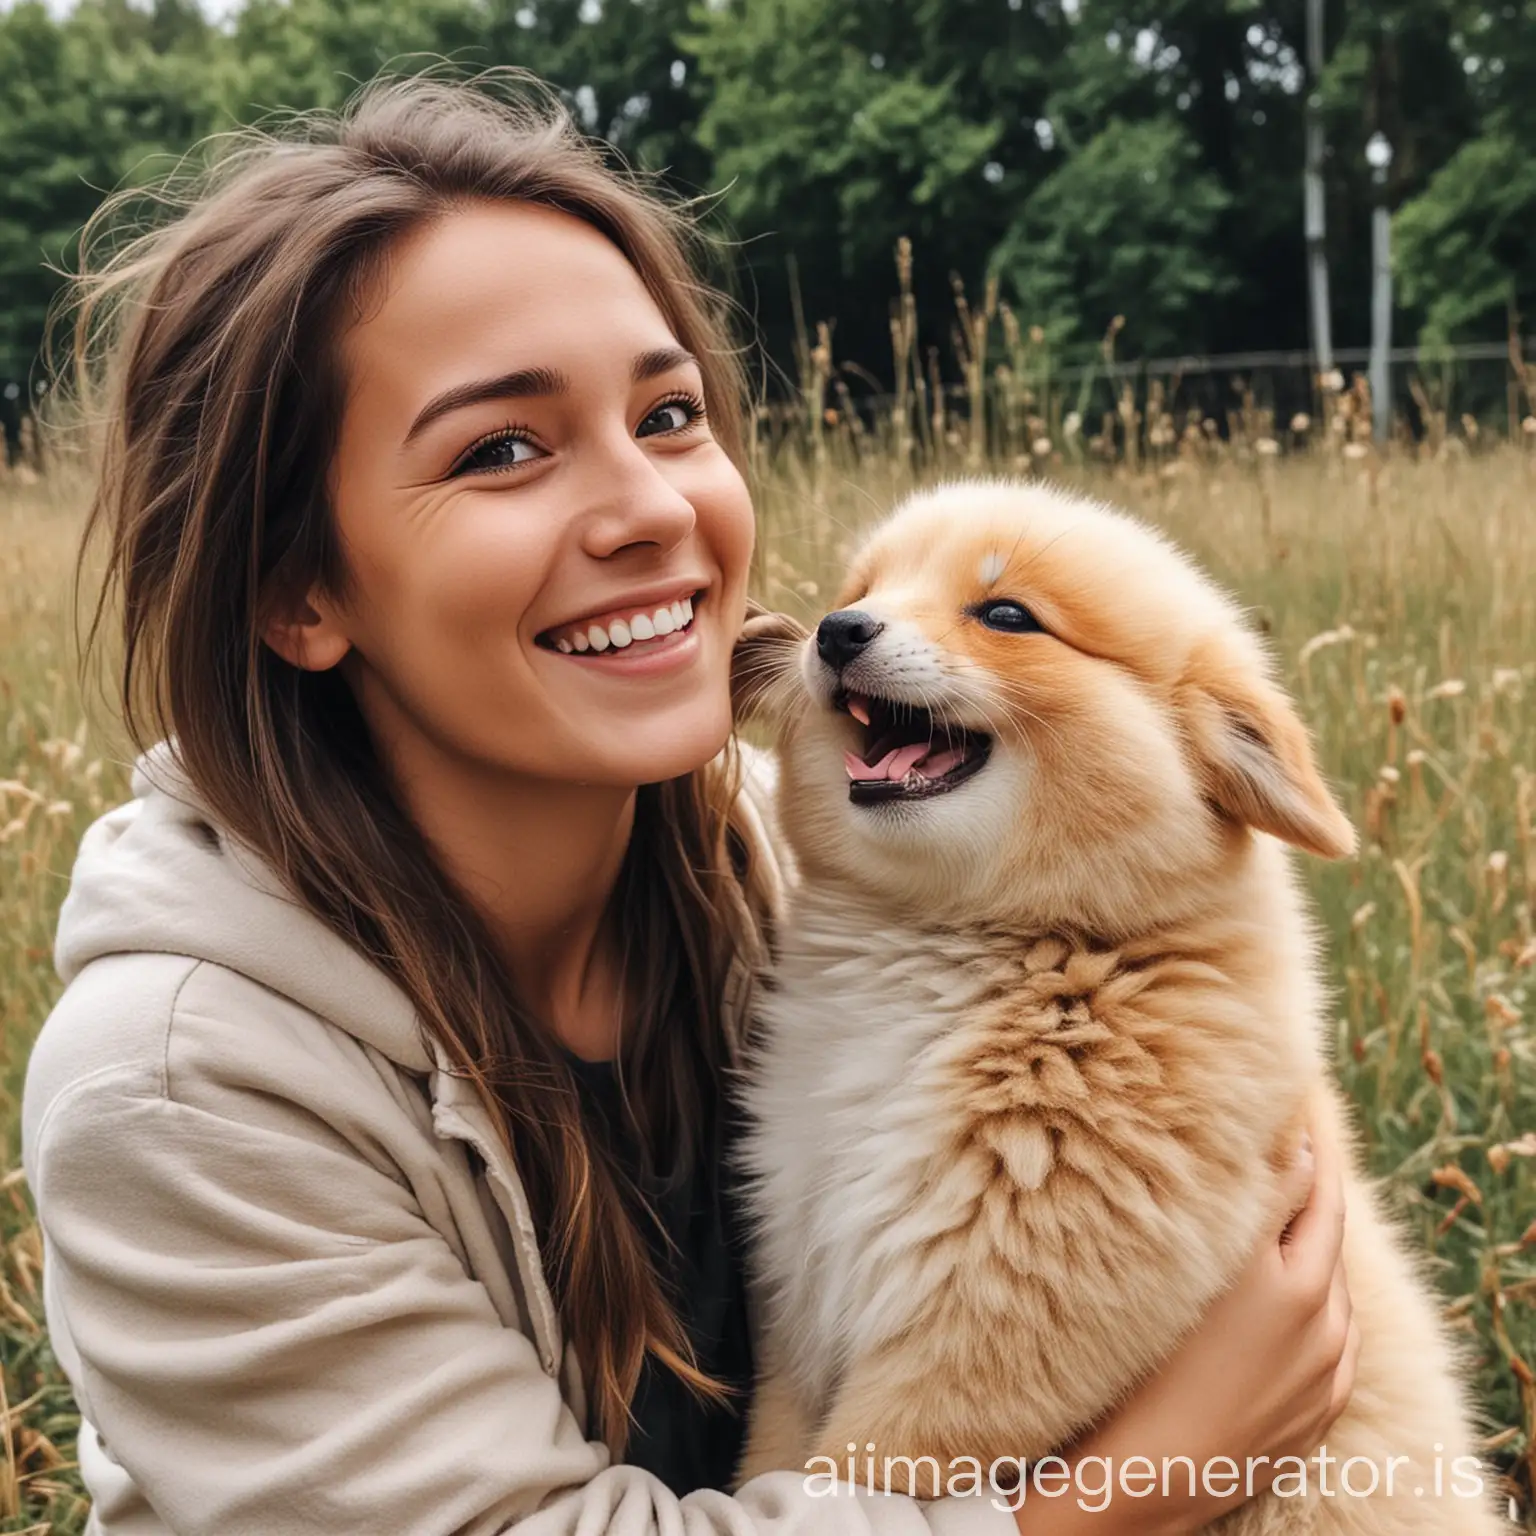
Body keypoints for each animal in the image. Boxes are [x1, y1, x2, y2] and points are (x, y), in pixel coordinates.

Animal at [728, 473, 1499, 1529]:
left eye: (1007, 615)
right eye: (865, 587)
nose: (837, 632)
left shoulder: (989, 1337)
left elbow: (864, 1468)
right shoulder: (799, 1294)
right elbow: (775, 1458)